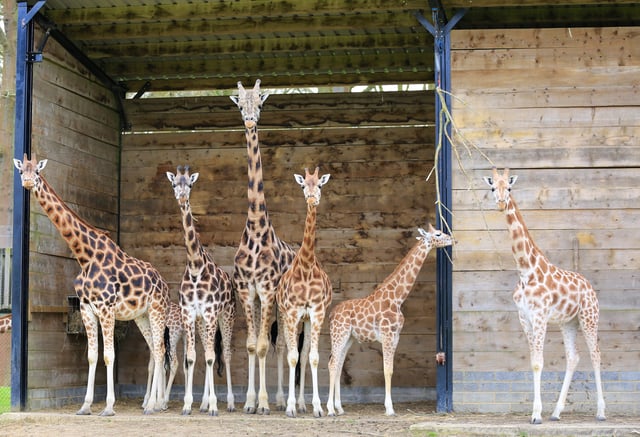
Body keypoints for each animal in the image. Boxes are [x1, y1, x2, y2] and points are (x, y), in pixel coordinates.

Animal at [13, 154, 169, 416]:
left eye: (37, 172)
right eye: (21, 171)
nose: (27, 182)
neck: (85, 257)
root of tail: (165, 284)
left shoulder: (106, 308)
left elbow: (109, 356)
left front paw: (108, 407)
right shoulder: (87, 308)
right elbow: (92, 356)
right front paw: (85, 406)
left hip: (157, 311)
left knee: (159, 349)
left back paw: (153, 405)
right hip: (142, 315)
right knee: (154, 350)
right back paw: (152, 403)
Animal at [166, 166, 236, 416]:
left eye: (190, 184)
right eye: (174, 184)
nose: (182, 198)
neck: (196, 267)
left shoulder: (210, 313)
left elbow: (210, 357)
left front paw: (215, 405)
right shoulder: (190, 314)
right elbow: (191, 358)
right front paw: (187, 405)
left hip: (226, 316)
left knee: (224, 354)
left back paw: (229, 403)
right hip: (201, 322)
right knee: (206, 351)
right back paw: (204, 403)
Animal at [326, 224, 454, 417]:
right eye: (438, 234)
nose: (453, 239)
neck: (397, 298)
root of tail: (332, 313)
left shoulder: (395, 337)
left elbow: (390, 369)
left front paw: (389, 407)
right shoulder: (387, 335)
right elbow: (387, 370)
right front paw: (390, 408)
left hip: (349, 338)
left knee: (339, 364)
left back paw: (339, 408)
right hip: (339, 334)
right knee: (332, 363)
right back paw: (329, 409)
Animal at [483, 167, 606, 424]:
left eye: (509, 187)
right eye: (492, 187)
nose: (501, 203)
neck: (525, 270)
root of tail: (590, 287)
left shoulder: (540, 316)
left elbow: (539, 363)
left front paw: (536, 415)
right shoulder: (524, 318)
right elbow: (533, 362)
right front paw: (540, 412)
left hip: (589, 317)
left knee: (595, 354)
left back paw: (601, 412)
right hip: (569, 322)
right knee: (573, 357)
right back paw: (557, 412)